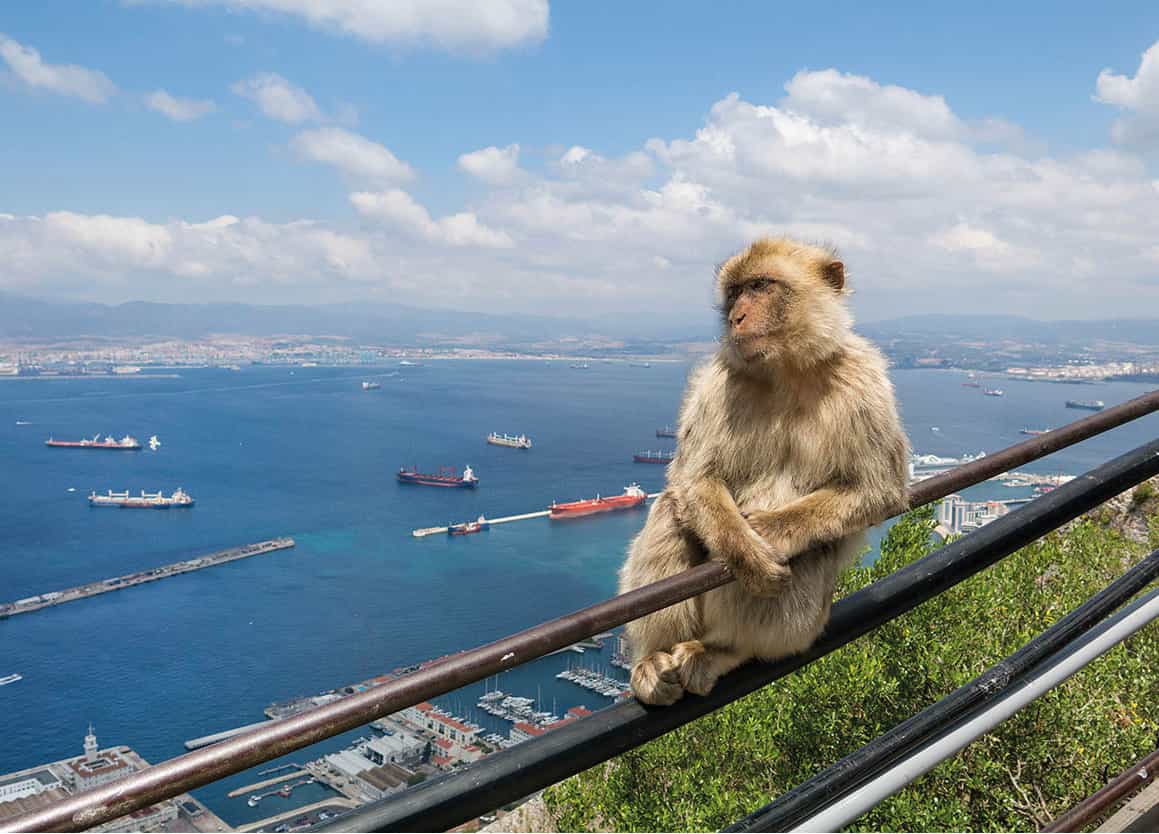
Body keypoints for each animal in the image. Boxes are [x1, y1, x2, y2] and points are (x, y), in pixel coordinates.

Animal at [621, 237, 908, 708]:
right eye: (735, 293)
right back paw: (653, 658)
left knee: (807, 560)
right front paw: (747, 550)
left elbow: (878, 489)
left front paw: (772, 529)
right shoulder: (718, 381)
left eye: (760, 286)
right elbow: (693, 479)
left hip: (802, 626)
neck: (786, 370)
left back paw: (726, 650)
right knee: (672, 510)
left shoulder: (862, 379)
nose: (736, 316)